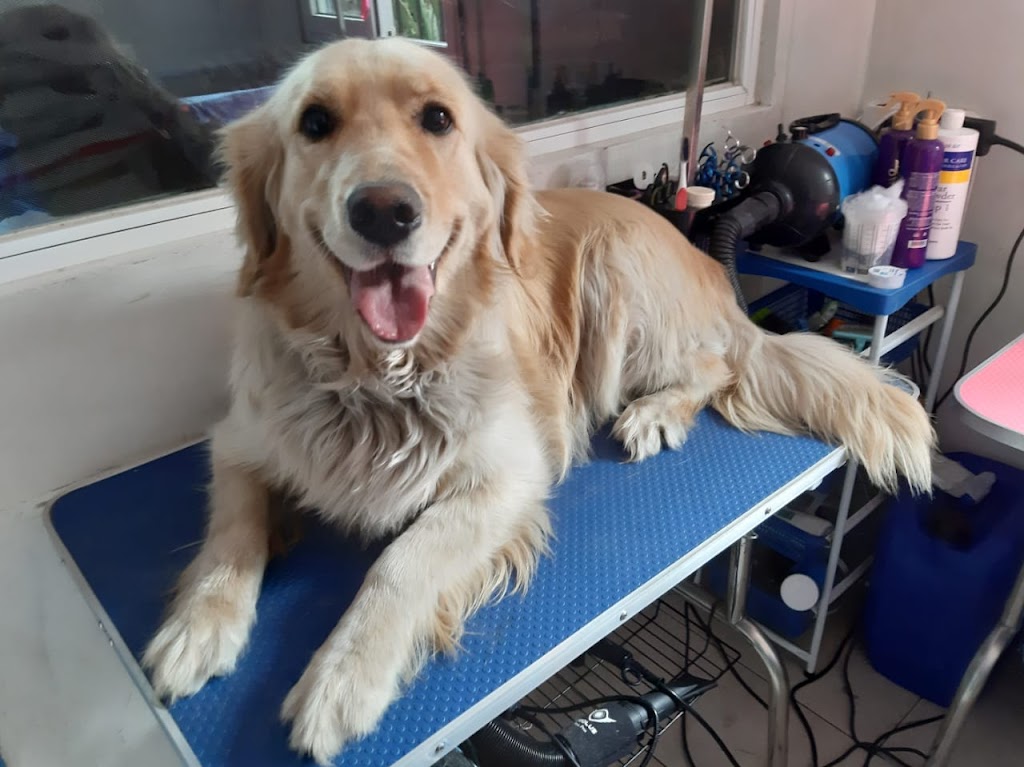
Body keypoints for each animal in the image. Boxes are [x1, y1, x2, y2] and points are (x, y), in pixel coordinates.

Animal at [142, 37, 935, 764]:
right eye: (314, 122)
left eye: (437, 117)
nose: (384, 211)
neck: (380, 374)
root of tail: (706, 261)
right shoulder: (239, 439)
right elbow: (232, 528)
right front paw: (198, 627)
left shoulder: (507, 473)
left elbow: (402, 559)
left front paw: (343, 676)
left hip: (614, 275)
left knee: (711, 366)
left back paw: (654, 413)